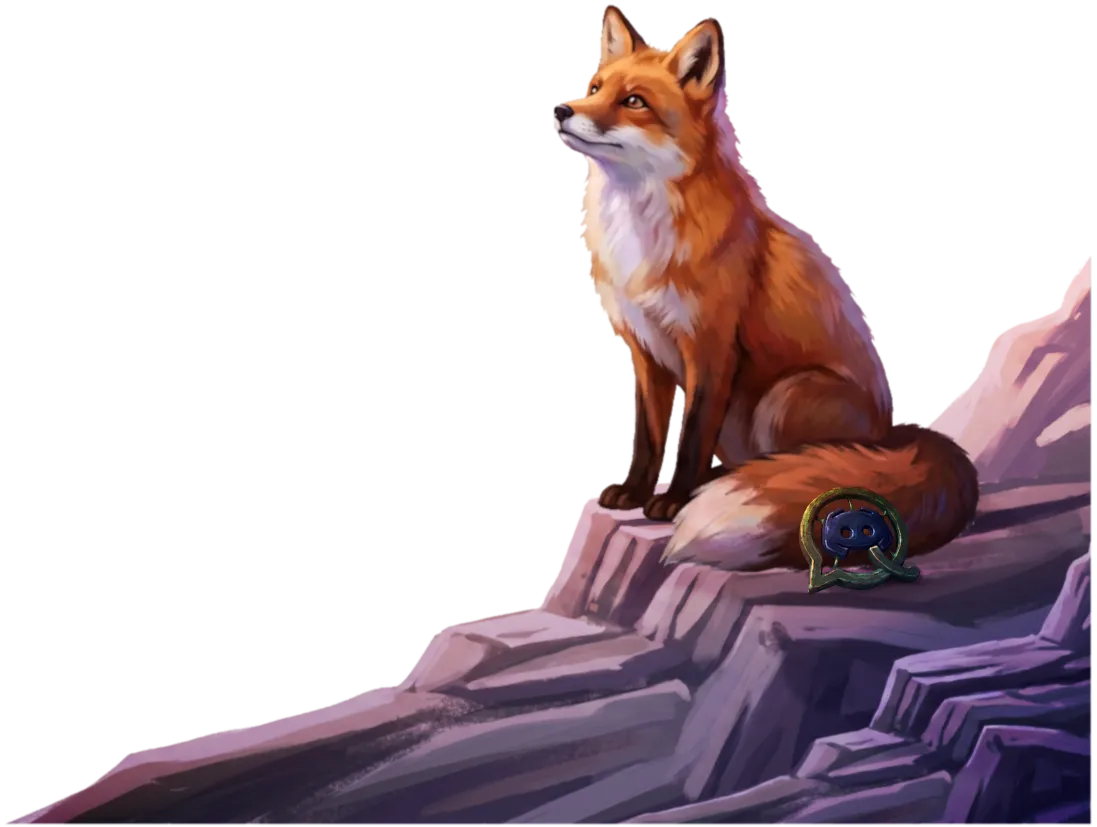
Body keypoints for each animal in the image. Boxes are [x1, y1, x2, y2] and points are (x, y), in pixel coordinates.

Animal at [553, 6, 979, 570]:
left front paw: (673, 501)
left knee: (820, 467)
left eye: (634, 102)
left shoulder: (711, 349)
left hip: (785, 396)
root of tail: (892, 432)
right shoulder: (645, 351)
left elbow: (690, 437)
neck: (640, 236)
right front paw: (635, 491)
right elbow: (648, 435)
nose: (560, 109)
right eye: (594, 87)